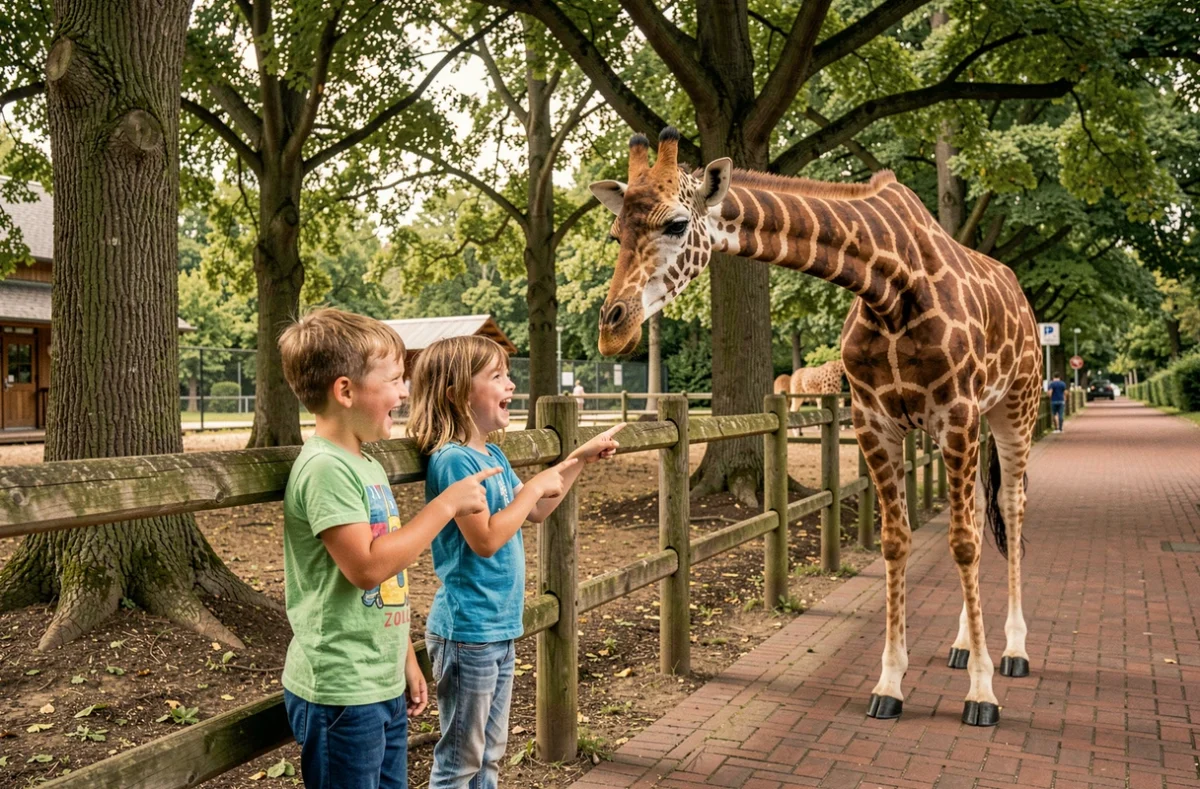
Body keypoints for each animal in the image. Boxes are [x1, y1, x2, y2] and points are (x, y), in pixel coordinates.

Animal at [590, 128, 1041, 727]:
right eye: (616, 232)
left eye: (677, 224)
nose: (612, 329)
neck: (889, 284)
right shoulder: (877, 420)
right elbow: (897, 540)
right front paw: (889, 684)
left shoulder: (959, 414)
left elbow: (965, 543)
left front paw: (982, 693)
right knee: (972, 513)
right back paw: (963, 644)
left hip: (1014, 409)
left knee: (1010, 509)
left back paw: (1013, 651)